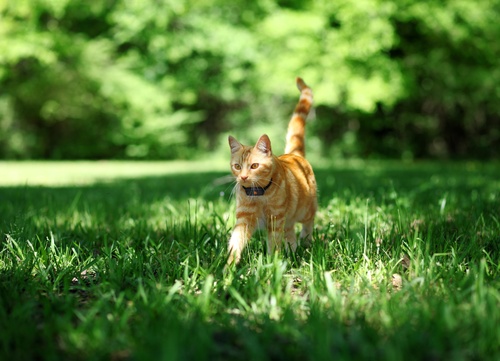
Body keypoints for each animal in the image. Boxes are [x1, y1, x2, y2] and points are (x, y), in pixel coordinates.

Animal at [227, 77, 316, 262]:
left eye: (254, 166)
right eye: (237, 166)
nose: (243, 177)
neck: (259, 194)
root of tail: (293, 154)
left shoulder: (275, 219)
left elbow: (274, 245)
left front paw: (271, 264)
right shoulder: (244, 219)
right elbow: (236, 242)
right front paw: (229, 265)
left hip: (305, 209)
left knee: (308, 223)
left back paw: (306, 242)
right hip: (289, 220)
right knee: (290, 234)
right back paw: (293, 252)